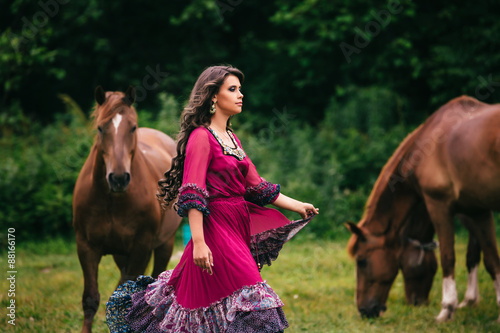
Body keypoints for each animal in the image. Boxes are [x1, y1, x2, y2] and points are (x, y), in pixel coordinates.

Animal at [72, 87, 182, 330]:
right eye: (100, 128)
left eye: (132, 127)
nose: (119, 178)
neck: (111, 200)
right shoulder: (86, 246)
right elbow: (90, 299)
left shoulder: (141, 246)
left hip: (164, 244)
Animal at [346, 96, 500, 322]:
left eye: (362, 261)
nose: (364, 311)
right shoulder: (478, 211)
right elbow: (490, 258)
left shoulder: (439, 205)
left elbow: (449, 257)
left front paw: (448, 309)